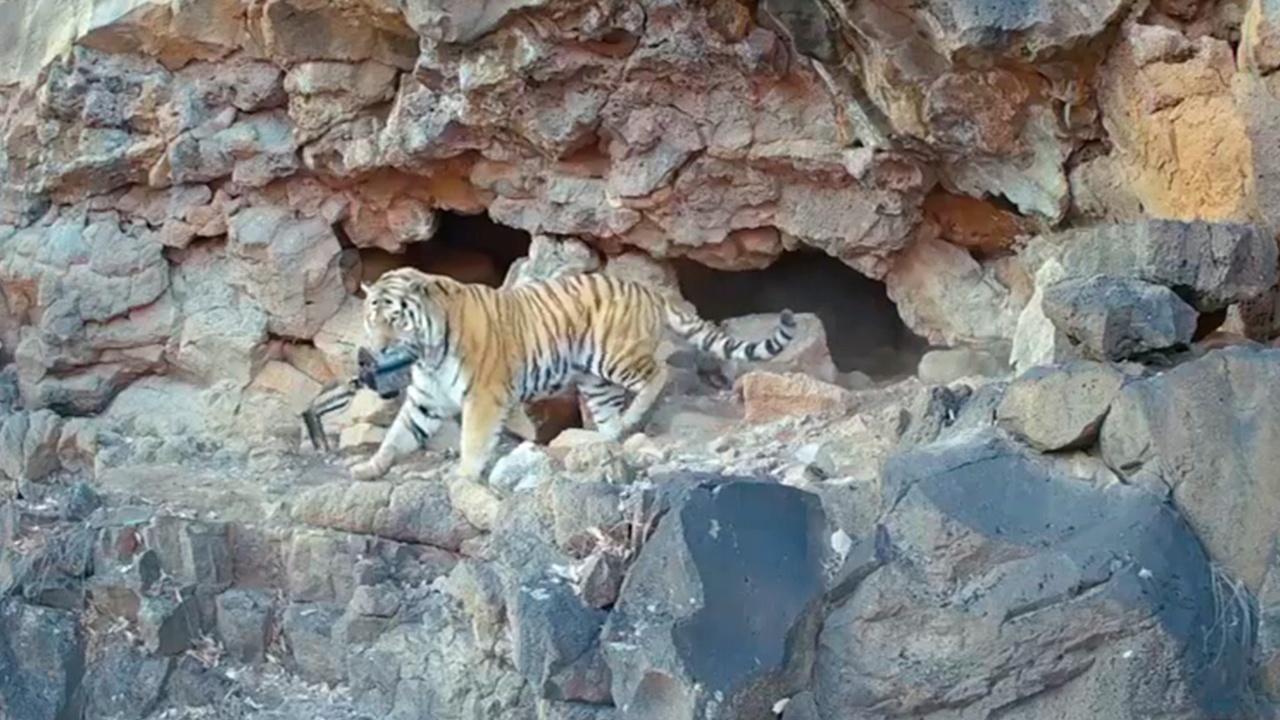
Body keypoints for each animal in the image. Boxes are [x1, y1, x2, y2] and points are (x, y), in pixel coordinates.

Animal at [346, 266, 798, 483]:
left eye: (395, 320)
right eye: (371, 319)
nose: (376, 351)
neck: (427, 354)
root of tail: (650, 290)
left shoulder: (484, 396)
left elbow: (473, 438)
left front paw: (464, 475)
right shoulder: (425, 400)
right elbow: (395, 436)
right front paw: (369, 468)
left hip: (615, 356)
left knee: (658, 373)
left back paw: (634, 417)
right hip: (594, 380)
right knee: (611, 411)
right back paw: (610, 436)